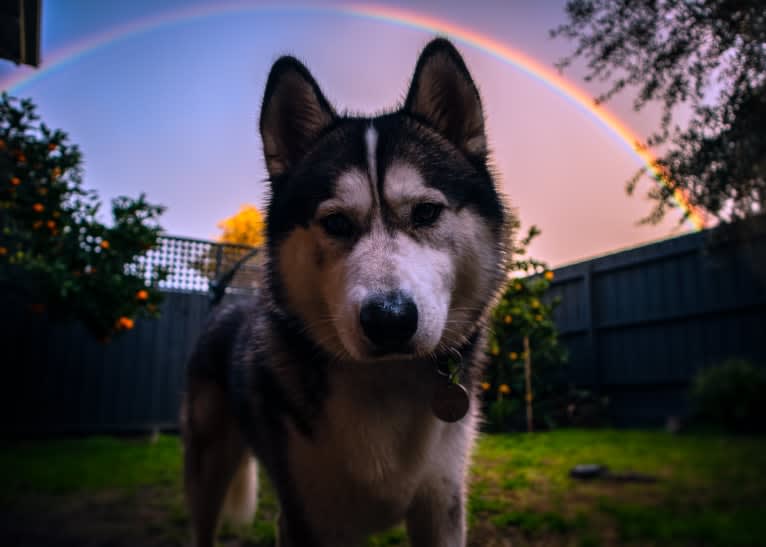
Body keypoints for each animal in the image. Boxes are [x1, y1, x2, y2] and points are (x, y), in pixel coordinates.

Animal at [183, 38, 512, 547]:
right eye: (336, 222)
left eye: (426, 212)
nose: (390, 320)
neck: (385, 384)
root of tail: (225, 306)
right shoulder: (305, 518)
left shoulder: (442, 506)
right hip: (209, 466)